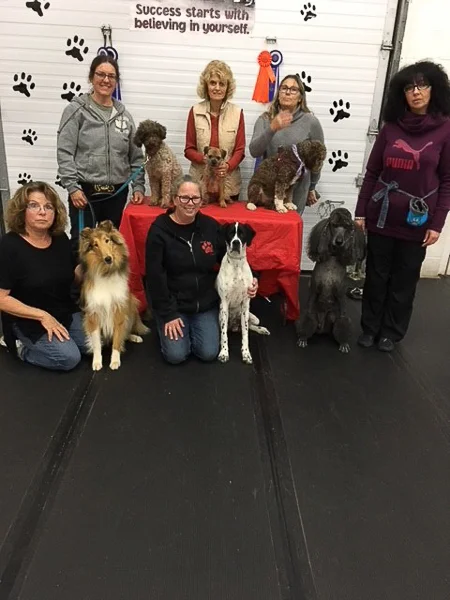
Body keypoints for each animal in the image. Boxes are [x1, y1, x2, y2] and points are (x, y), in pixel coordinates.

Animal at [79, 220, 150, 371]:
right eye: (95, 245)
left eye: (107, 240)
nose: (108, 259)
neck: (106, 272)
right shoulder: (93, 314)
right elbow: (96, 343)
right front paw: (97, 362)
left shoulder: (119, 310)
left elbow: (117, 339)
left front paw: (115, 361)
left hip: (132, 305)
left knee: (125, 333)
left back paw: (135, 337)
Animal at [216, 222, 270, 364]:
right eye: (230, 233)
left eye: (242, 234)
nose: (236, 242)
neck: (236, 264)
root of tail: (235, 326)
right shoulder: (224, 305)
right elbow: (224, 335)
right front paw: (224, 352)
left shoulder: (245, 305)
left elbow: (245, 335)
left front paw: (246, 353)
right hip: (220, 315)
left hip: (252, 317)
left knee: (250, 326)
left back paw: (261, 329)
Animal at [295, 208, 366, 353]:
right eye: (334, 225)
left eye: (347, 226)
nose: (339, 241)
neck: (333, 257)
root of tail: (322, 329)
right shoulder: (314, 293)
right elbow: (307, 317)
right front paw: (303, 338)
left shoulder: (340, 296)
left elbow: (343, 320)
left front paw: (344, 343)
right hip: (315, 317)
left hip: (332, 316)